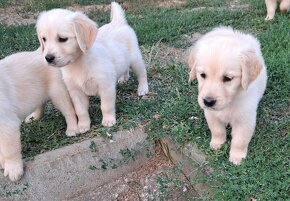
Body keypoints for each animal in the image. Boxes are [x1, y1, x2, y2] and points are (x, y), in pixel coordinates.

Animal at [0, 48, 79, 181]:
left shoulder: (7, 124)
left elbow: (9, 150)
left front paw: (13, 169)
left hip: (58, 92)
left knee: (69, 110)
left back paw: (72, 128)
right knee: (41, 103)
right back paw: (35, 117)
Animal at [36, 2, 148, 133]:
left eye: (63, 39)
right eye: (44, 39)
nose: (48, 58)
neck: (78, 64)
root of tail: (117, 22)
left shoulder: (106, 86)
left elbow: (106, 106)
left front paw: (108, 120)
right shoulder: (76, 92)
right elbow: (80, 111)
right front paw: (83, 126)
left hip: (135, 59)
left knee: (142, 73)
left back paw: (143, 89)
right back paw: (123, 78)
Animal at [188, 26, 268, 165]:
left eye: (228, 78)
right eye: (202, 75)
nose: (208, 101)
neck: (230, 101)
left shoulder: (245, 120)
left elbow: (240, 141)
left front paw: (237, 157)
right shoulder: (211, 114)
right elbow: (217, 130)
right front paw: (217, 144)